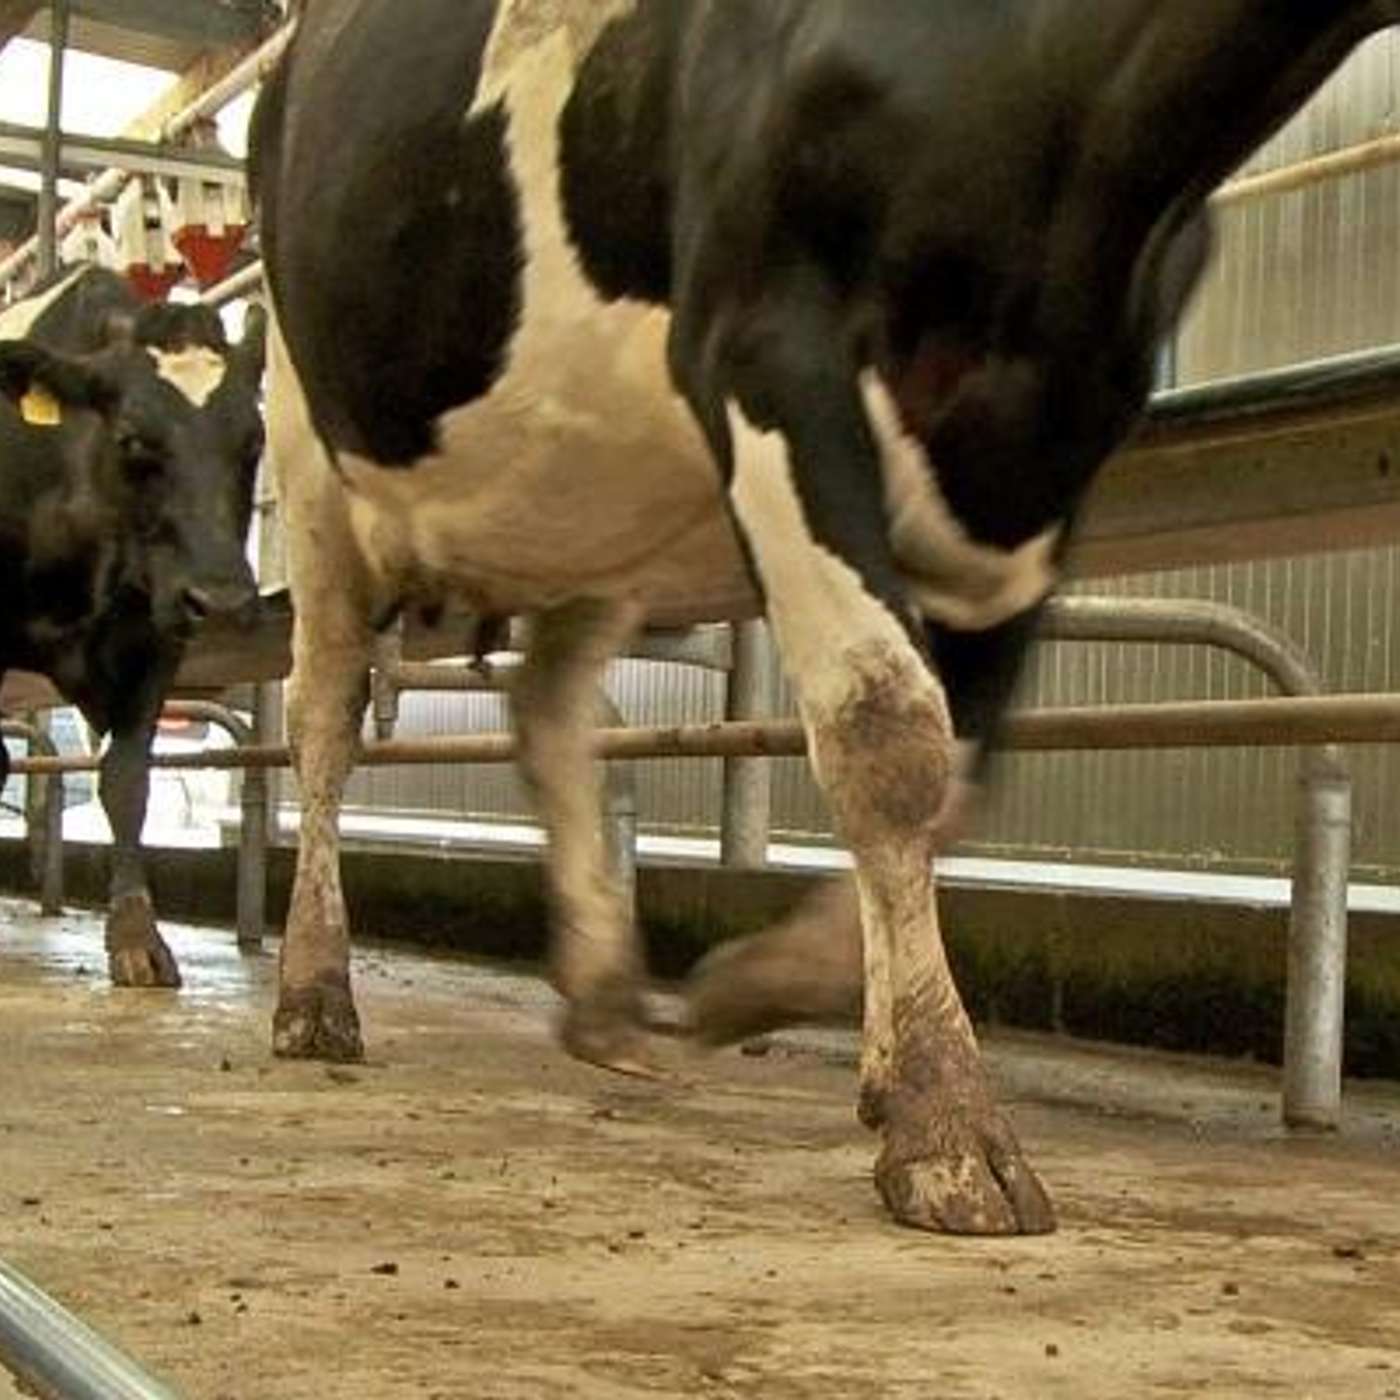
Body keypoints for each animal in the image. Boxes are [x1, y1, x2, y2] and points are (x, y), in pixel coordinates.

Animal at [0, 264, 267, 987]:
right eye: (135, 440)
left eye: (254, 442)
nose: (224, 601)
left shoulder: (156, 640)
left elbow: (127, 781)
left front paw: (136, 936)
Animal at [250, 0, 1396, 1234]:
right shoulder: (770, 346)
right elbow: (885, 729)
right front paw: (947, 1121)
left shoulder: (1044, 451)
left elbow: (953, 767)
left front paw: (790, 997)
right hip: (310, 450)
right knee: (324, 717)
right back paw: (314, 993)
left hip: (596, 496)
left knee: (546, 707)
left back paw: (601, 992)